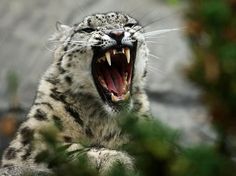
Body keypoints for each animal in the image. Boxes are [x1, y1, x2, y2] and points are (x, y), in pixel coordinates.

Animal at [0, 11, 150, 175]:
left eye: (129, 24)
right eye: (87, 29)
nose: (117, 33)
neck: (103, 121)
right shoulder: (31, 138)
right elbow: (58, 148)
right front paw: (112, 159)